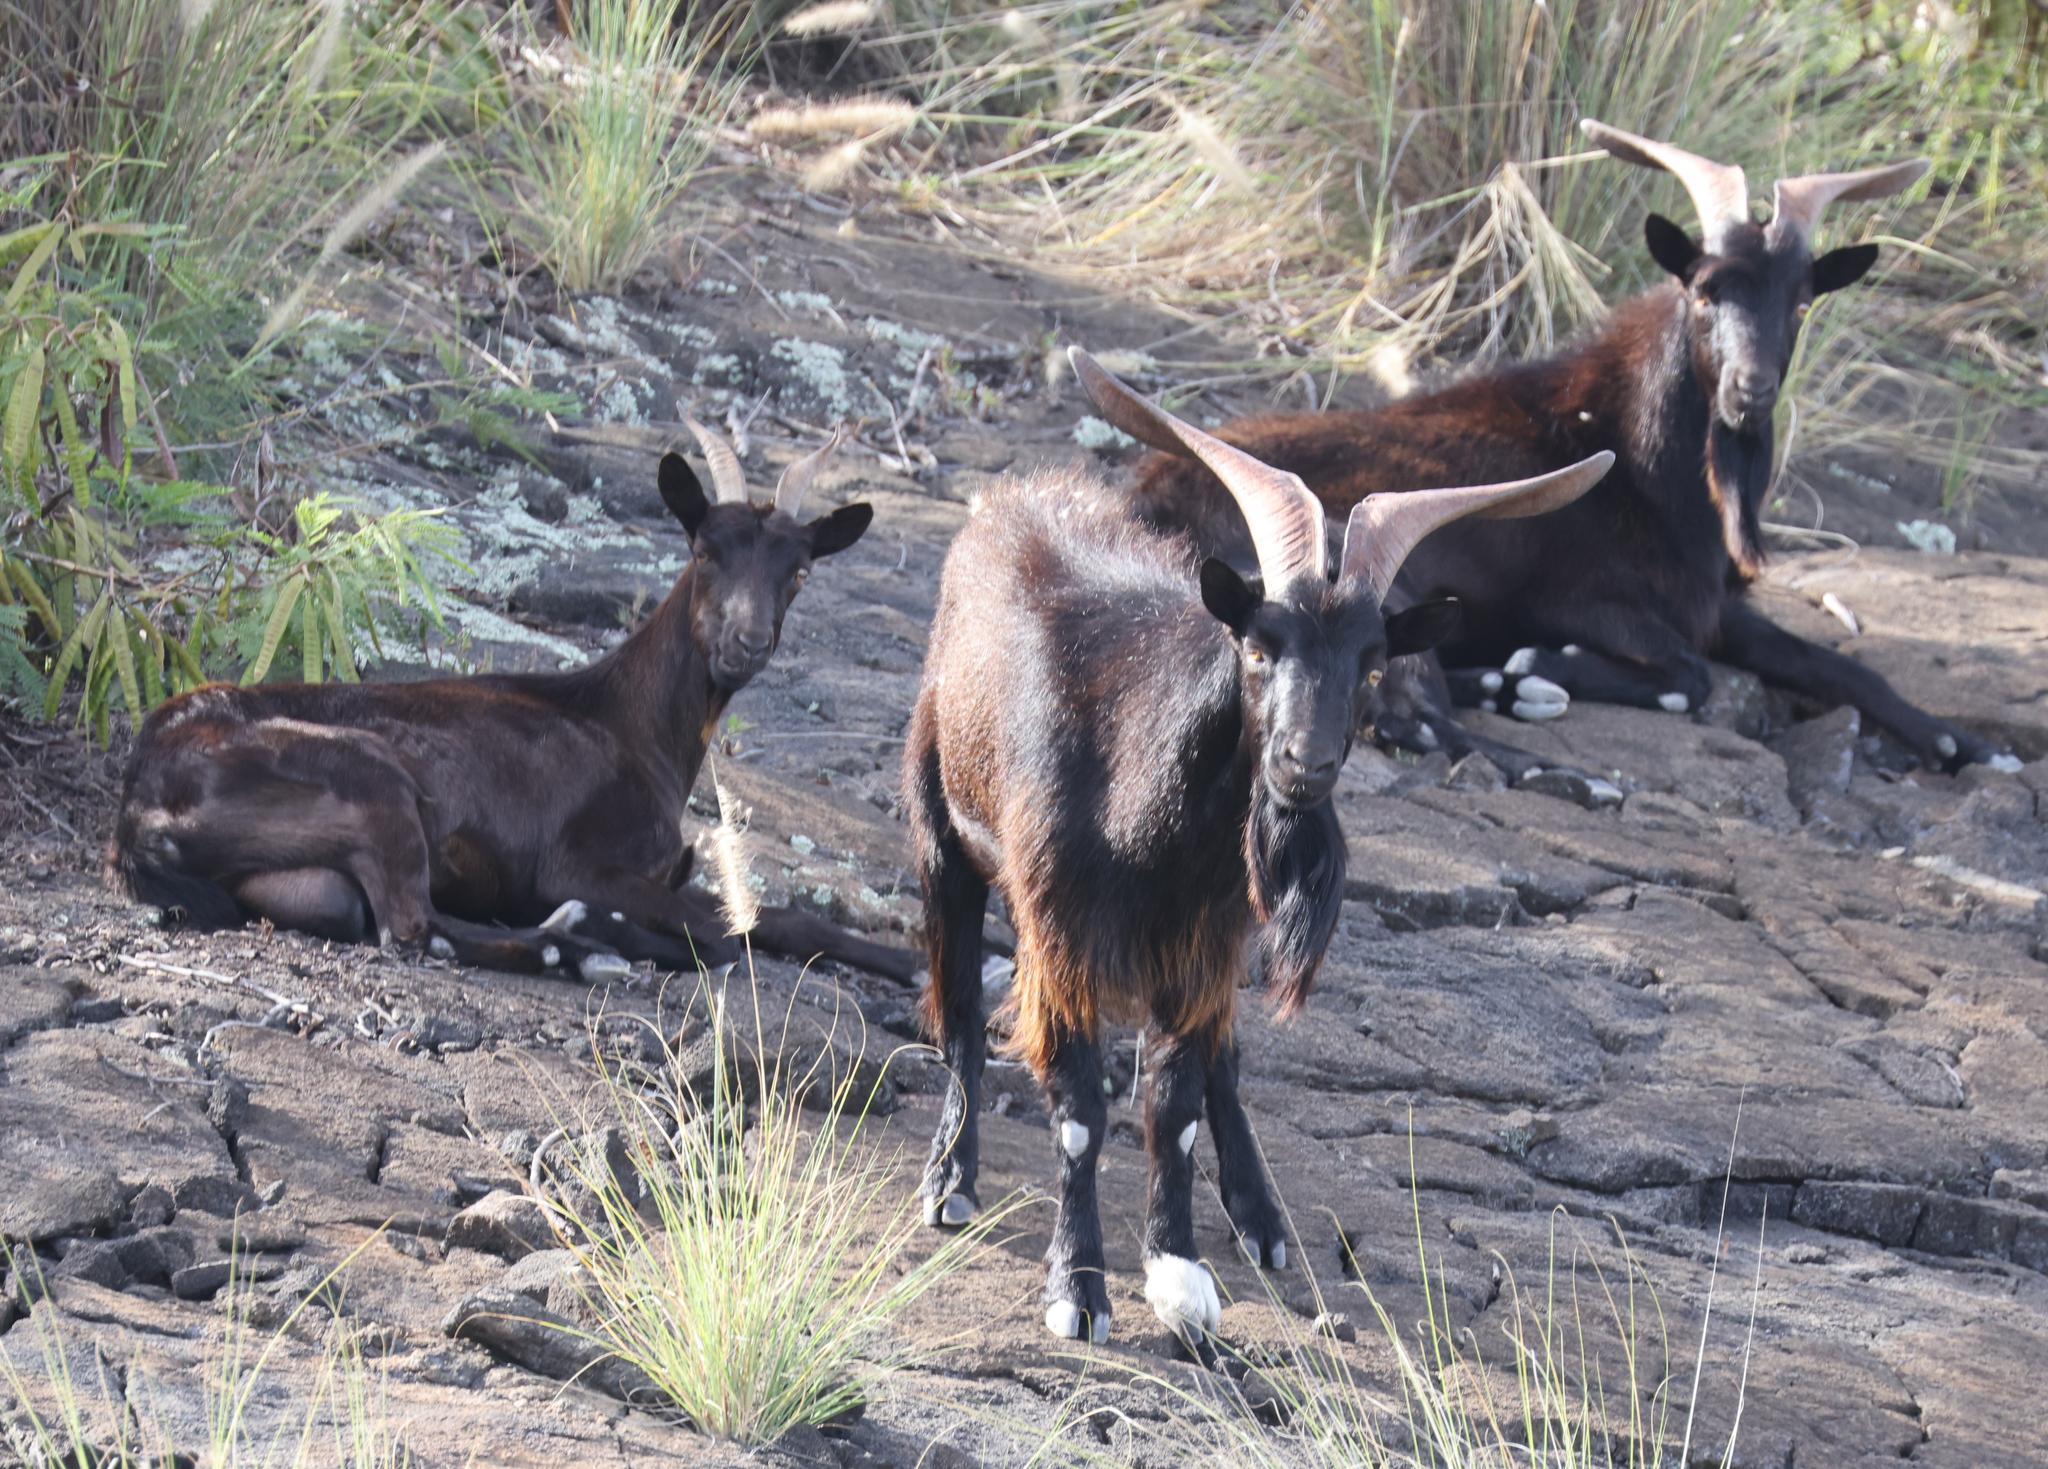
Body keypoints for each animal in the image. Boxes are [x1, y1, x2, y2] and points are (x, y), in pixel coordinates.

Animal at [109, 421, 919, 983]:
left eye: (800, 571)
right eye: (704, 550)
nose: (746, 644)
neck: (632, 725)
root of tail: (139, 807)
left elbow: (769, 919)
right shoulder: (577, 864)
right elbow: (731, 930)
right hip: (375, 784)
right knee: (418, 927)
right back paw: (584, 947)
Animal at [905, 347, 1611, 1350]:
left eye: (1371, 661)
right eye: (1258, 647)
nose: (1302, 765)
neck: (1142, 805)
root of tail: (1008, 501)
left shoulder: (1201, 937)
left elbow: (1177, 1103)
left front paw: (1176, 1263)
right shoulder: (1062, 930)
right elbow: (1080, 1109)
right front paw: (1079, 1288)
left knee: (1223, 1058)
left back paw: (1263, 1218)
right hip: (942, 835)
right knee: (958, 1007)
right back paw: (951, 1180)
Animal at [1130, 120, 2022, 778]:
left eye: (1801, 300)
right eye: (1706, 291)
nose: (1751, 390)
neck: (1646, 460)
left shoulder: (1710, 606)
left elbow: (1835, 663)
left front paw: (1966, 743)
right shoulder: (1588, 601)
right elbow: (1689, 679)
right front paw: (1535, 666)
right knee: (1415, 718)